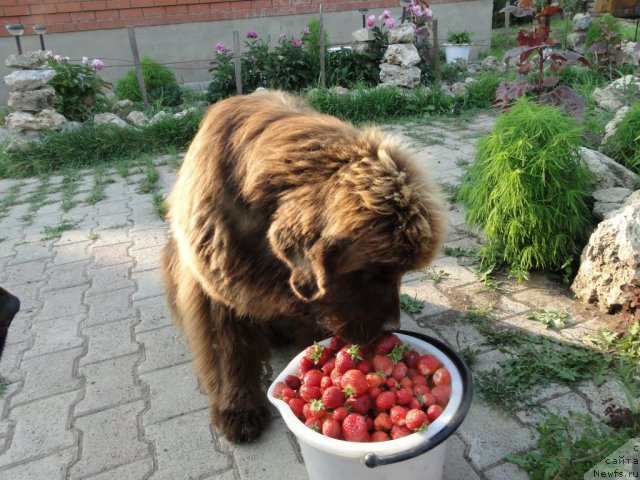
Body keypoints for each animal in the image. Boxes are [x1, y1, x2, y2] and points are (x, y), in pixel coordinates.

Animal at [162, 90, 448, 442]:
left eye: (400, 273)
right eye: (371, 271)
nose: (392, 328)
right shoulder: (216, 288)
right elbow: (230, 352)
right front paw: (239, 409)